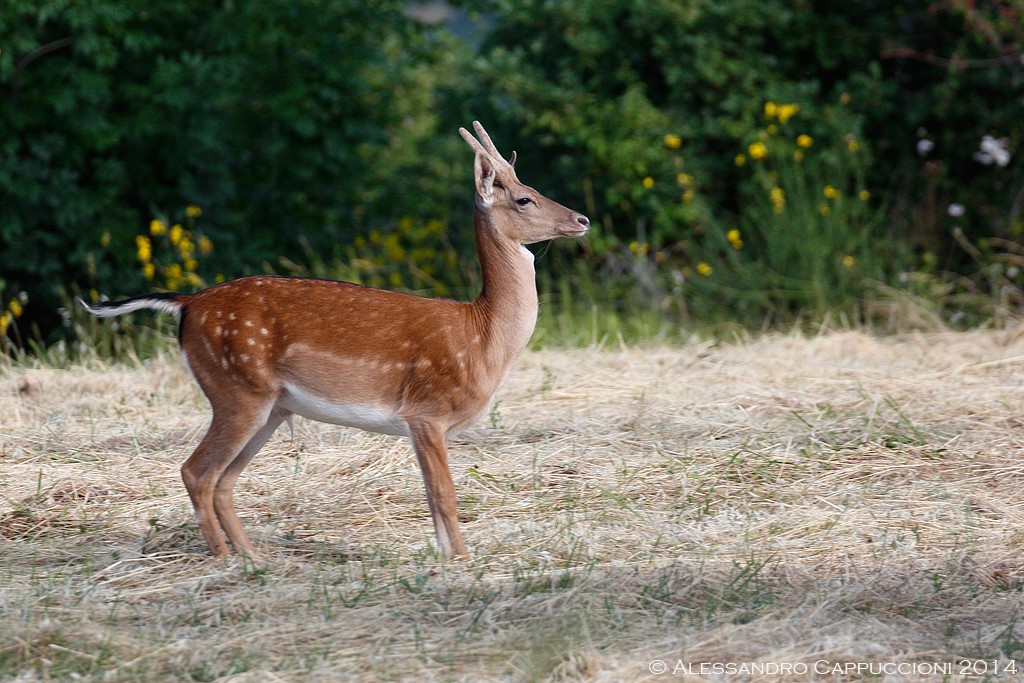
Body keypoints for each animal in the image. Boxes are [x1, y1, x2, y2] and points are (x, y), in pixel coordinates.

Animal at [81, 122, 593, 561]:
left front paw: (448, 559)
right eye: (524, 199)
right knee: (197, 472)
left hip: (270, 405)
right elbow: (445, 495)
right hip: (236, 388)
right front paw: (465, 562)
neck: (484, 335)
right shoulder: (427, 410)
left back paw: (255, 558)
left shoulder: (421, 425)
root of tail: (188, 302)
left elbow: (430, 497)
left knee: (223, 480)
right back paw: (226, 561)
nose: (583, 218)